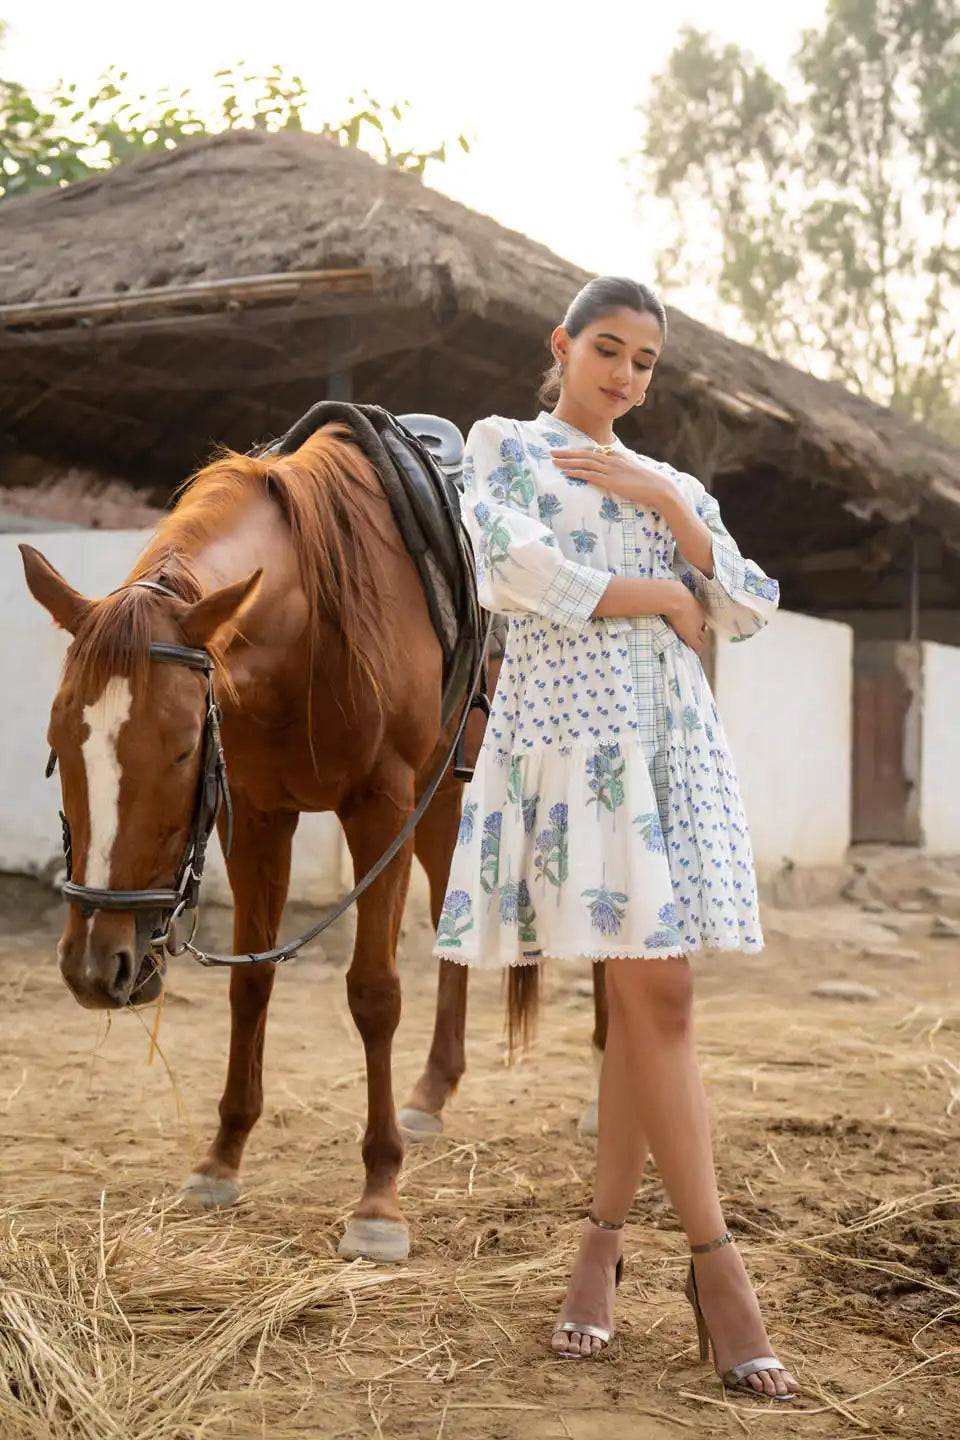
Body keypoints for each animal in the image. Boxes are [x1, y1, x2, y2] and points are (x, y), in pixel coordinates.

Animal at [20, 420, 607, 1255]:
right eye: (59, 745)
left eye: (180, 749)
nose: (99, 968)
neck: (309, 626)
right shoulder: (259, 815)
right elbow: (251, 983)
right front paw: (222, 1158)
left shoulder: (381, 808)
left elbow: (374, 993)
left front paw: (379, 1199)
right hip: (446, 801)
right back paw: (431, 1092)